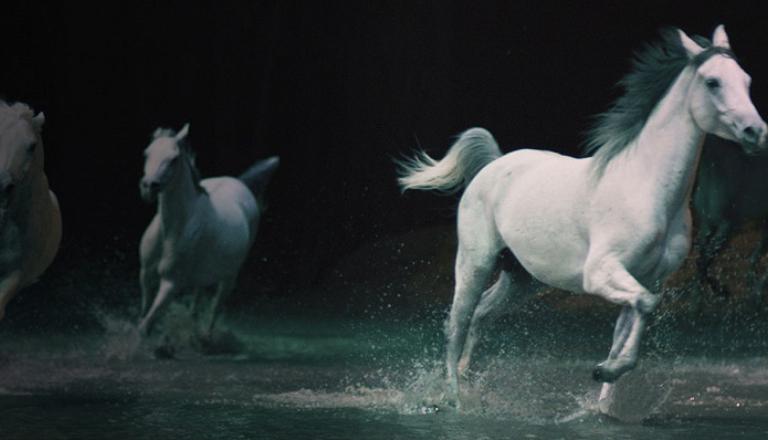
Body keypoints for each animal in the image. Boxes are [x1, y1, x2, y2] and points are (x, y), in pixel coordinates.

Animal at [138, 124, 280, 336]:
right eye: (147, 153)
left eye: (174, 159)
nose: (149, 186)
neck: (172, 229)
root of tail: (241, 184)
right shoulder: (146, 274)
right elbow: (143, 314)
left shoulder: (171, 284)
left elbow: (145, 324)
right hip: (204, 274)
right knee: (197, 298)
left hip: (229, 276)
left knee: (215, 307)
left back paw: (206, 337)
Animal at [400, 24, 764, 410]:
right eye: (712, 82)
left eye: (746, 80)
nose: (756, 132)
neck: (645, 187)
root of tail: (493, 165)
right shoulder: (602, 273)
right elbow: (646, 306)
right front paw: (607, 370)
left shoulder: (646, 279)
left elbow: (630, 324)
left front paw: (604, 392)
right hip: (475, 262)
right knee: (457, 322)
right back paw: (455, 398)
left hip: (522, 278)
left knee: (481, 314)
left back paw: (469, 380)